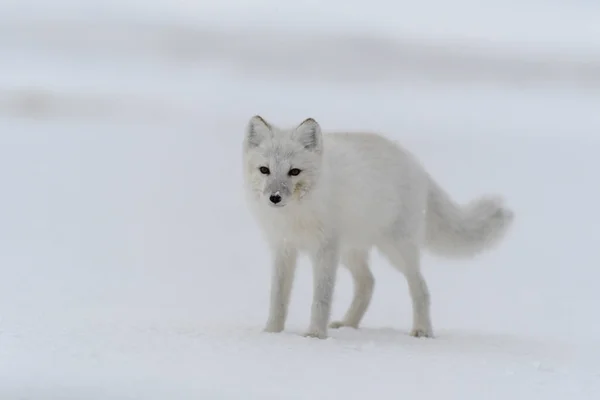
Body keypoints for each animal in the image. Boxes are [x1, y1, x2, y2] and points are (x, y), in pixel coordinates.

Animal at [241, 115, 512, 340]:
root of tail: (416, 164)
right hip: (351, 251)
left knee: (421, 287)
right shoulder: (283, 248)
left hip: (396, 250)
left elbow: (321, 297)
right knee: (368, 283)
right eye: (265, 170)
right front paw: (272, 332)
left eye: (294, 171)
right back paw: (348, 324)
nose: (274, 197)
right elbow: (278, 297)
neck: (296, 214)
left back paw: (422, 330)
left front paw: (315, 335)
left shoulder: (325, 250)